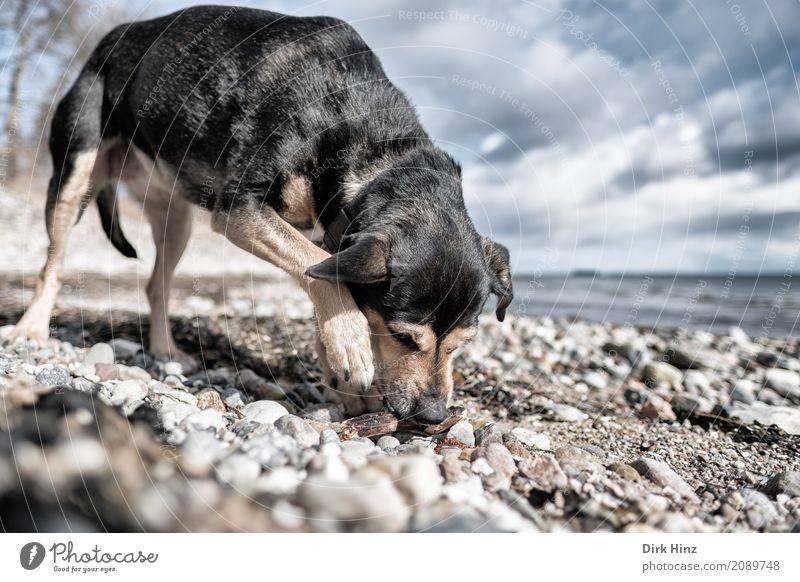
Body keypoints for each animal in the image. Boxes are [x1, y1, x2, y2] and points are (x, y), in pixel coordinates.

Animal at [10, 4, 512, 424]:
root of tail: (109, 40)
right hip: (75, 172)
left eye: (463, 345)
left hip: (176, 219)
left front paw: (345, 379)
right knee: (52, 264)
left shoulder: (327, 235)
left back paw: (165, 349)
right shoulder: (241, 210)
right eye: (405, 337)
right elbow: (314, 268)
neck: (372, 146)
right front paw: (350, 341)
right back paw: (31, 328)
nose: (433, 416)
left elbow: (322, 280)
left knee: (156, 284)